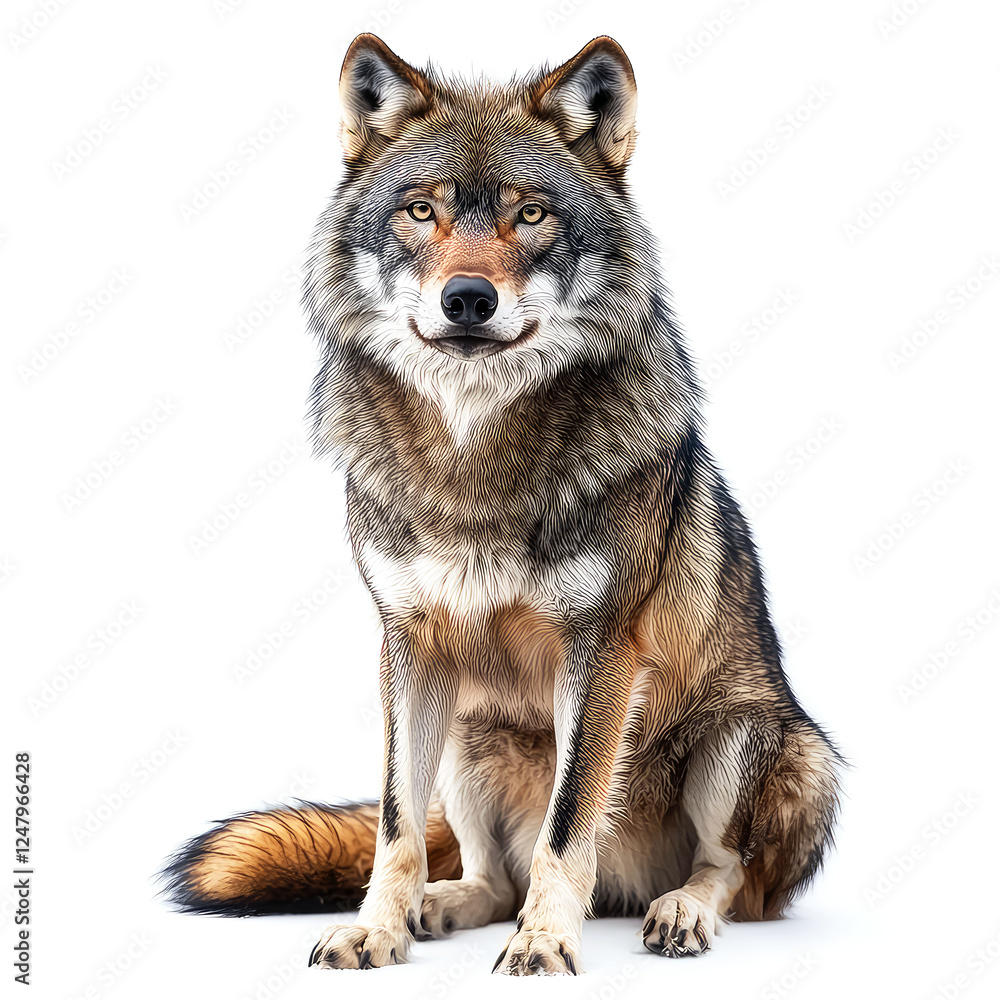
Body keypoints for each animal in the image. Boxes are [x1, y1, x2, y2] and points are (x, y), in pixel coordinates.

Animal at [161, 34, 842, 975]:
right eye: (421, 212)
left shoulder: (601, 652)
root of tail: (626, 888)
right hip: (468, 737)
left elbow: (568, 823)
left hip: (746, 738)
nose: (468, 299)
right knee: (485, 871)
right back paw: (442, 907)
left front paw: (546, 942)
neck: (473, 460)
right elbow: (396, 826)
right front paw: (375, 930)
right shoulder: (407, 645)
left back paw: (677, 911)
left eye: (530, 216)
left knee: (730, 875)